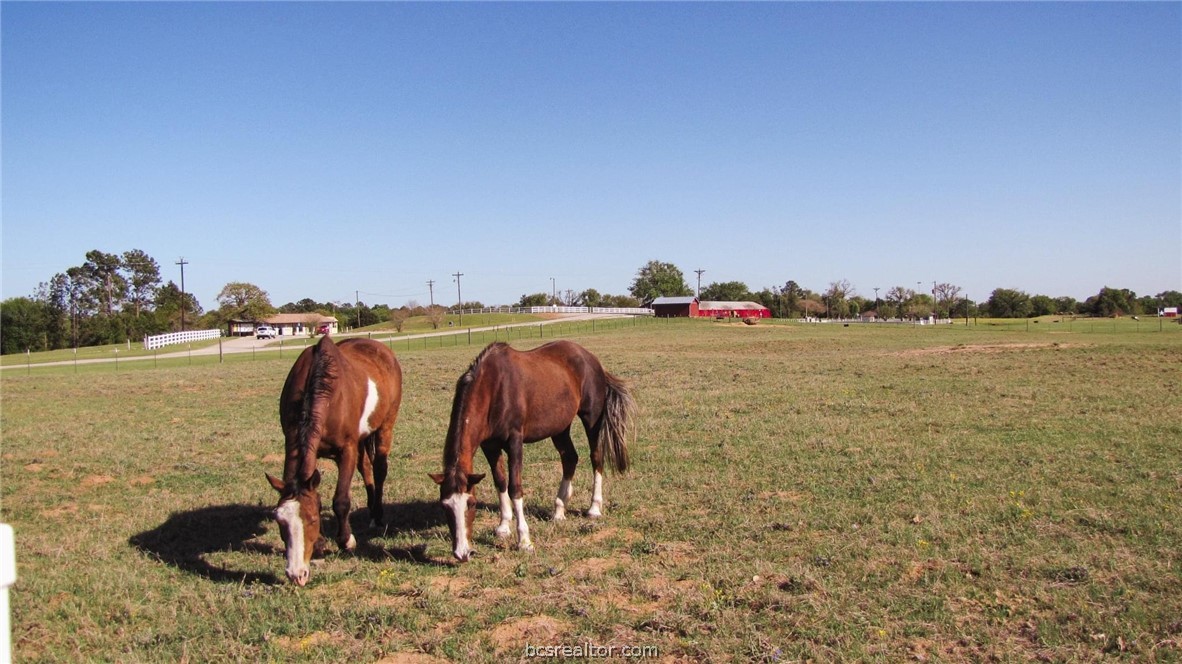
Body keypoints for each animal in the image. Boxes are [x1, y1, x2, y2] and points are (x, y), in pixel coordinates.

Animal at [264, 335, 401, 583]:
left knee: (379, 469)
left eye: (311, 519)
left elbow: (341, 501)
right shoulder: (293, 442)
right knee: (366, 468)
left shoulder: (346, 450)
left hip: (386, 425)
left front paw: (346, 540)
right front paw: (319, 543)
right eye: (280, 521)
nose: (296, 574)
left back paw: (377, 515)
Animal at [432, 337, 638, 560]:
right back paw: (559, 509)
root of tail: (591, 358)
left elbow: (515, 488)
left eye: (471, 503)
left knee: (596, 458)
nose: (462, 553)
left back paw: (594, 508)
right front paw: (503, 526)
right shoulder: (490, 446)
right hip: (560, 427)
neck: (493, 388)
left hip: (591, 418)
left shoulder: (514, 442)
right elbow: (500, 482)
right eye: (445, 506)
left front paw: (524, 540)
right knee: (569, 458)